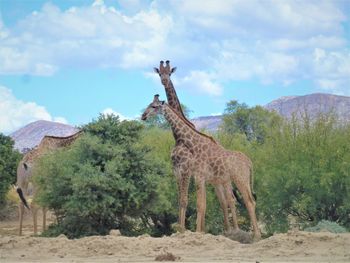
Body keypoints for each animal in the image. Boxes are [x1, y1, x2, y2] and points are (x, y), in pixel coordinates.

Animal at [142, 96, 260, 240]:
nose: (143, 116)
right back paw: (250, 234)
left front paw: (196, 232)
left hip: (239, 179)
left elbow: (199, 204)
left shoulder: (197, 175)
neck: (194, 146)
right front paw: (197, 231)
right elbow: (202, 204)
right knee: (243, 201)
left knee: (248, 201)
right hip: (237, 180)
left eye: (154, 106)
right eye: (149, 104)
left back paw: (255, 235)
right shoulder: (199, 177)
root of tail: (250, 162)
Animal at [154, 60, 239, 233]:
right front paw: (196, 230)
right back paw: (228, 229)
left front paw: (195, 230)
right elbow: (196, 202)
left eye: (170, 73)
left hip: (222, 180)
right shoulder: (192, 174)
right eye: (159, 73)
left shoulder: (192, 173)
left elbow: (197, 202)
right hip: (216, 181)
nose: (164, 81)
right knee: (224, 200)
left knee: (230, 199)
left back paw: (233, 230)